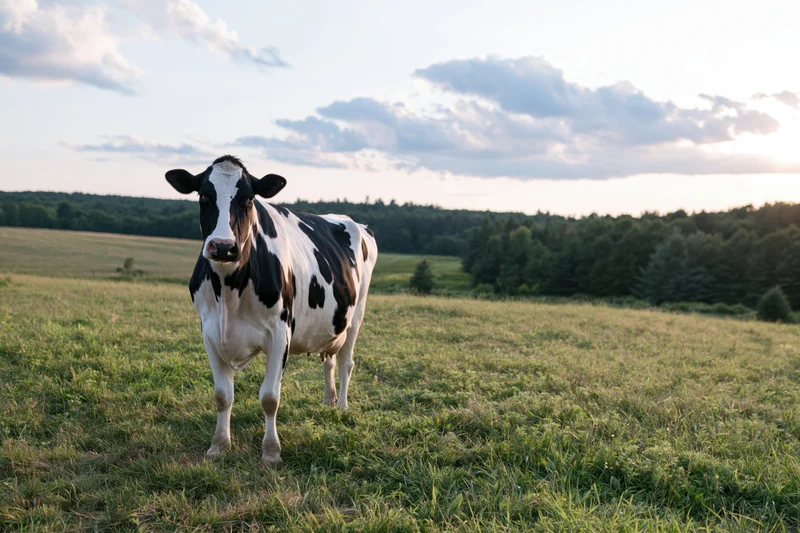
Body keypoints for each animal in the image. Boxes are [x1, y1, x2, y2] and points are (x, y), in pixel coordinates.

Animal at [165, 155, 377, 464]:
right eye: (204, 196)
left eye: (249, 199)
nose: (223, 247)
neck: (228, 290)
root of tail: (353, 221)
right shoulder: (209, 333)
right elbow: (222, 395)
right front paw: (219, 445)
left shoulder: (280, 334)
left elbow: (269, 397)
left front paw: (271, 451)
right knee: (328, 359)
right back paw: (329, 401)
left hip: (356, 313)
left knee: (346, 362)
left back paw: (342, 407)